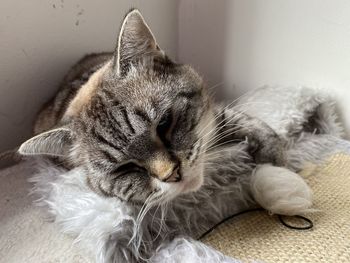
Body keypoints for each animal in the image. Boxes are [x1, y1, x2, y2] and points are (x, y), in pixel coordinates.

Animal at [17, 8, 310, 263]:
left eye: (164, 123)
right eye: (125, 168)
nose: (172, 174)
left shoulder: (216, 115)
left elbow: (248, 122)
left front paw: (275, 156)